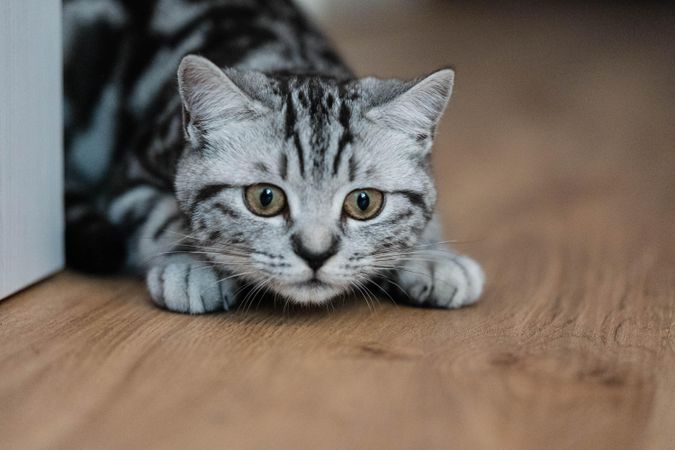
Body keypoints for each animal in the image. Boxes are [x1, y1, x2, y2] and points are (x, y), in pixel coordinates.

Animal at [64, 0, 486, 312]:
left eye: (364, 202)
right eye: (265, 198)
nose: (316, 254)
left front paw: (433, 258)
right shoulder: (130, 178)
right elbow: (162, 217)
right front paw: (189, 264)